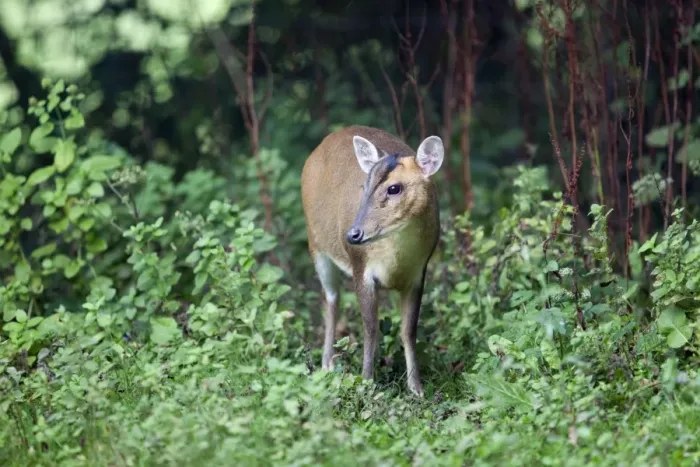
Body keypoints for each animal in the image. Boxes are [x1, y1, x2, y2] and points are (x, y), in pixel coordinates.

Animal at [301, 125, 444, 397]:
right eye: (364, 186)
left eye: (394, 188)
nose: (352, 234)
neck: (395, 262)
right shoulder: (361, 268)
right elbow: (370, 328)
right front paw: (366, 383)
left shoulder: (418, 274)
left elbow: (409, 330)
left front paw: (417, 388)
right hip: (316, 245)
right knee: (330, 298)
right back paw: (327, 363)